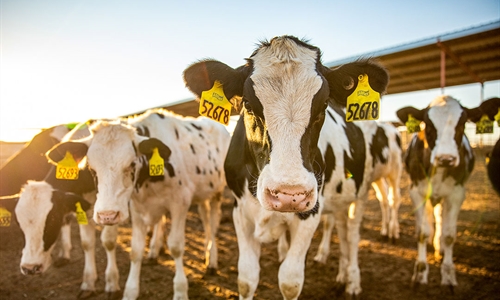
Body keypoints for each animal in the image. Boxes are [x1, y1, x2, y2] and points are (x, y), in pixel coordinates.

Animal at [46, 109, 229, 300]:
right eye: (90, 168)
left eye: (132, 163)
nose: (107, 215)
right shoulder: (137, 208)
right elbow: (135, 251)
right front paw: (130, 291)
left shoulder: (180, 203)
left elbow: (176, 247)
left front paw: (180, 291)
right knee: (204, 217)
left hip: (217, 192)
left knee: (212, 224)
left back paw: (212, 261)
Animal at [184, 36, 390, 298]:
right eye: (248, 104)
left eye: (324, 105)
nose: (288, 194)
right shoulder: (240, 211)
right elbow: (246, 278)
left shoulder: (311, 211)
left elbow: (290, 282)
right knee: (342, 230)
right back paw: (341, 277)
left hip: (361, 193)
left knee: (352, 236)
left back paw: (352, 282)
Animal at [396, 95, 482, 290]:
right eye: (428, 124)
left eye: (462, 123)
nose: (446, 158)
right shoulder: (416, 192)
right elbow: (422, 232)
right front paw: (420, 272)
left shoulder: (457, 194)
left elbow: (449, 235)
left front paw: (448, 274)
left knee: (439, 217)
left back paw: (439, 245)